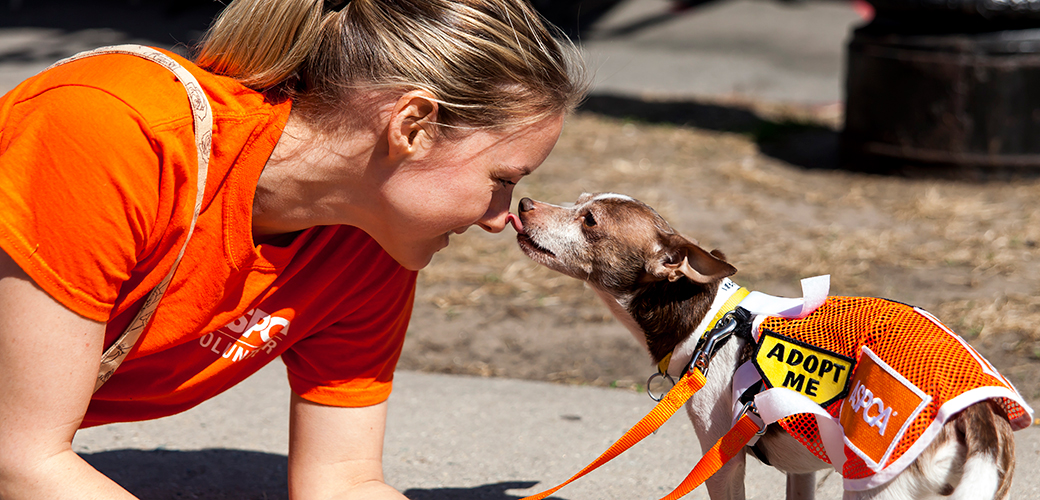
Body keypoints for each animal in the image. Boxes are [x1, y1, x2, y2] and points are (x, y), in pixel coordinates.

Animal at [507, 192, 1027, 498]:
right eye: (579, 200)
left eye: (590, 220)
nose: (525, 200)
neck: (710, 321)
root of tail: (977, 415)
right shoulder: (804, 467)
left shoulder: (721, 463)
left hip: (876, 486)